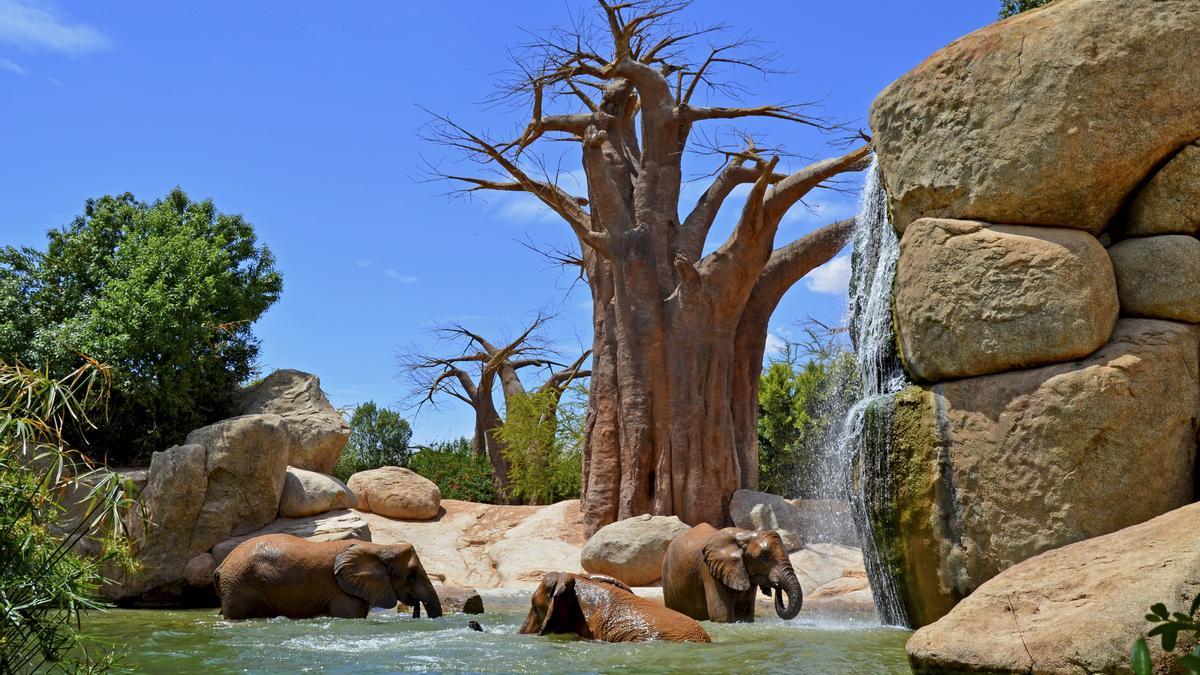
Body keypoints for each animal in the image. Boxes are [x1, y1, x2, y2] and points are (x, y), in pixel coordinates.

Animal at [213, 533, 444, 619]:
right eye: (411, 576)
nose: (416, 608)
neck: (379, 548)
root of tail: (221, 565)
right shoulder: (341, 590)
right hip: (239, 586)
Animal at [662, 523, 801, 624]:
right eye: (764, 557)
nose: (777, 586)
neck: (745, 535)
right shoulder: (708, 571)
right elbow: (722, 615)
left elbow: (745, 615)